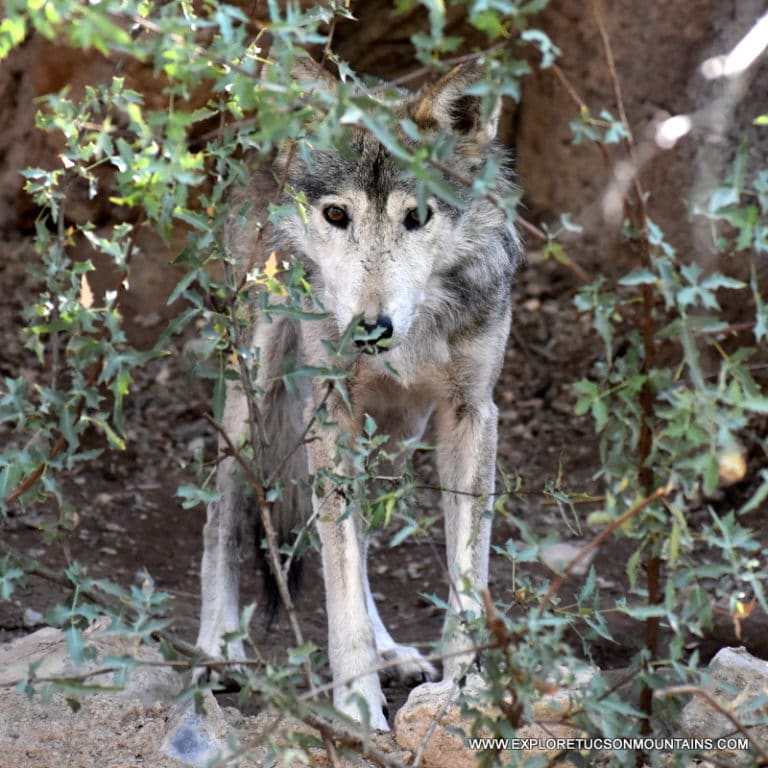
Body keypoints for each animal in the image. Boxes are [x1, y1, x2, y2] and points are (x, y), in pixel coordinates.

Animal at [195, 58, 524, 732]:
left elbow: (463, 578)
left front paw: (465, 694)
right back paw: (218, 649)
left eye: (416, 216)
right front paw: (356, 707)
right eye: (337, 216)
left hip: (394, 435)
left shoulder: (471, 414)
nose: (371, 328)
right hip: (255, 397)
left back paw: (391, 651)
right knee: (224, 516)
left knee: (362, 541)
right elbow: (337, 580)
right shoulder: (332, 412)